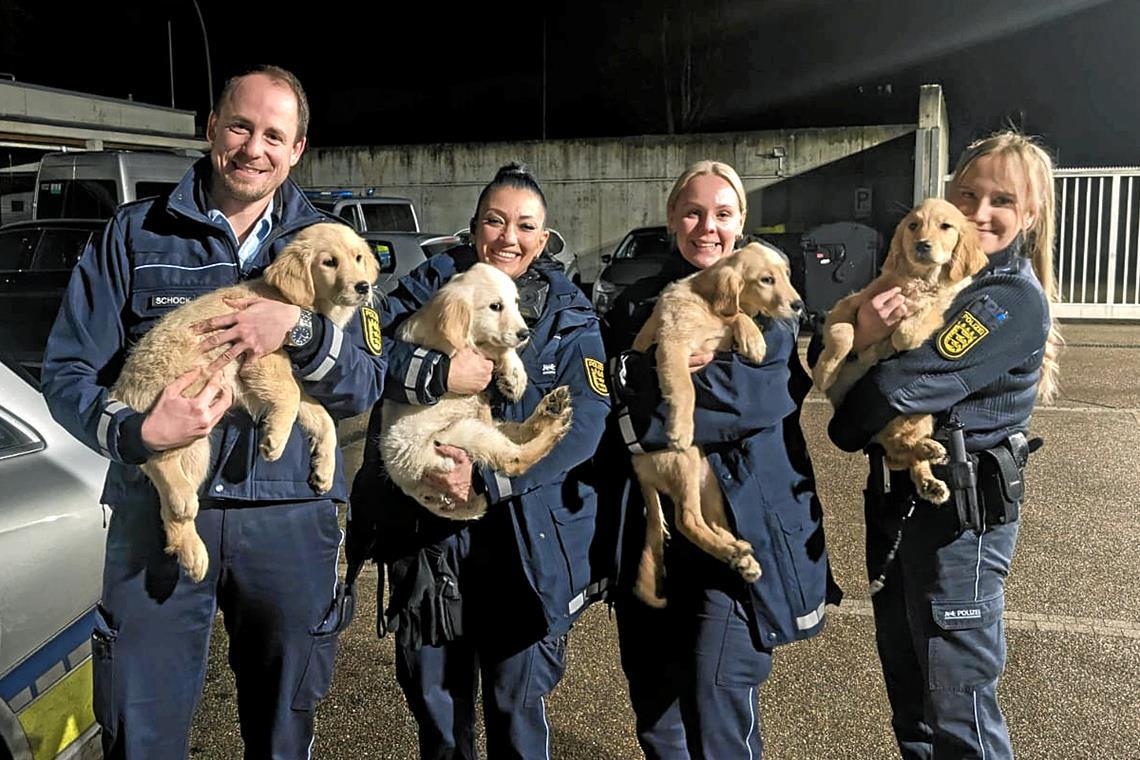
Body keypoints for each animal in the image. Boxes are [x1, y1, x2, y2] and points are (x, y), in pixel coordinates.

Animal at [107, 223, 376, 578]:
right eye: (329, 262)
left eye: (358, 258)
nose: (364, 287)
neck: (292, 302)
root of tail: (121, 388)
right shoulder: (262, 357)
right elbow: (291, 399)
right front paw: (275, 441)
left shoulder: (277, 373)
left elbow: (321, 418)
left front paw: (324, 470)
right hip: (189, 396)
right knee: (155, 452)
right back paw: (183, 500)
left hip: (198, 442)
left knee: (168, 507)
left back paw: (192, 553)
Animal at [380, 263, 574, 524]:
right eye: (496, 306)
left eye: (516, 302)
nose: (525, 334)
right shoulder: (454, 348)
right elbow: (493, 346)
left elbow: (501, 348)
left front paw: (515, 378)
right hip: (461, 435)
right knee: (514, 460)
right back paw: (554, 428)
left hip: (488, 426)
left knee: (521, 432)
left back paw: (551, 409)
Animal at [633, 240, 802, 610]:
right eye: (766, 280)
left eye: (786, 275)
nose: (799, 305)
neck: (707, 304)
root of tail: (638, 471)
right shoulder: (672, 347)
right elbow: (685, 387)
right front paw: (679, 427)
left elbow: (737, 316)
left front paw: (752, 337)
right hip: (683, 462)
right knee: (686, 521)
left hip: (707, 479)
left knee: (708, 521)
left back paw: (739, 553)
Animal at [811, 199, 989, 501]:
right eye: (913, 225)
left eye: (946, 226)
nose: (922, 245)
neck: (919, 280)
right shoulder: (848, 305)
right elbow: (843, 333)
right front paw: (824, 372)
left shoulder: (940, 308)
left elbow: (910, 329)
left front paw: (894, 338)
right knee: (897, 453)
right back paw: (929, 465)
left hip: (919, 413)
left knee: (901, 451)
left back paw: (930, 461)